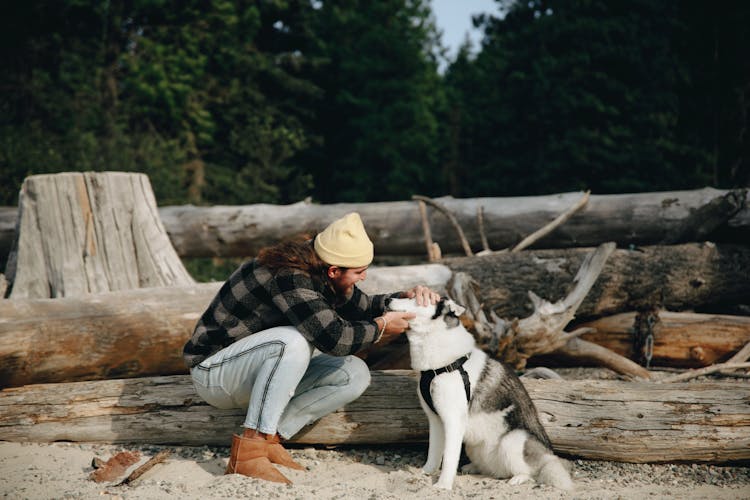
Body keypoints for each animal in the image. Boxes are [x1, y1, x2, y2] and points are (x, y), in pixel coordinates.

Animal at [388, 296, 576, 492]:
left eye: (415, 299)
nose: (388, 298)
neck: (440, 366)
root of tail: (548, 456)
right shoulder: (435, 419)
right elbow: (434, 452)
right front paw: (426, 473)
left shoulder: (454, 421)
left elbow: (449, 457)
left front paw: (444, 485)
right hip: (474, 448)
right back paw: (474, 467)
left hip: (512, 440)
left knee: (530, 473)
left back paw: (518, 478)